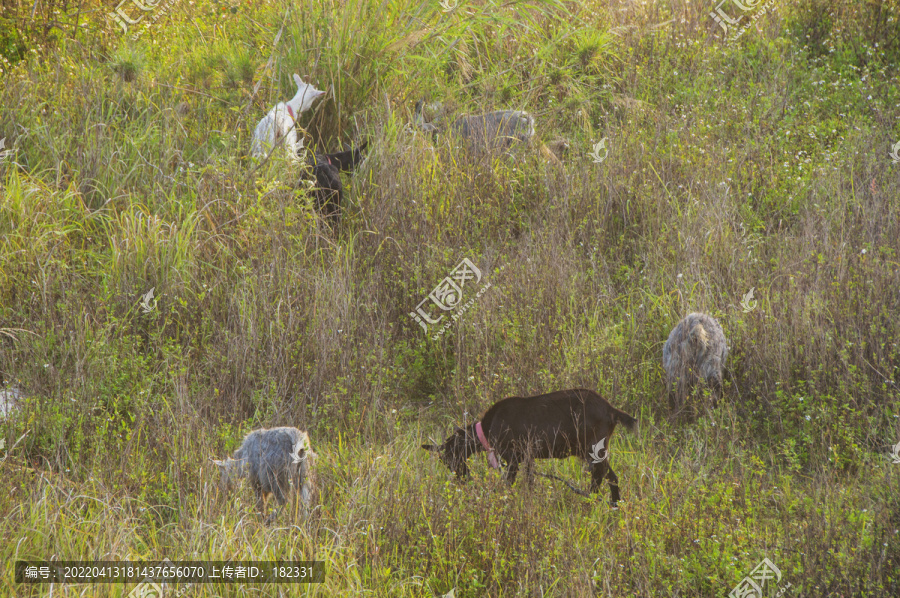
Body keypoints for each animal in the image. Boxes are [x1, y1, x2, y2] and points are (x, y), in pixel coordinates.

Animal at [424, 390, 640, 506]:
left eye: (448, 458)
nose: (463, 478)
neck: (485, 429)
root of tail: (612, 411)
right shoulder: (527, 457)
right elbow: (529, 482)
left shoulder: (513, 457)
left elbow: (509, 483)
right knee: (610, 476)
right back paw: (613, 504)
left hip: (592, 448)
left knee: (601, 476)